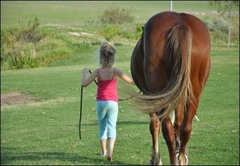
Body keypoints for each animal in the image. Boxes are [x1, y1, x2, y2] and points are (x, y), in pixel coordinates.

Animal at [130, 11, 211, 165]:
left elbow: (154, 126)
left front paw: (155, 158)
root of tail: (180, 23)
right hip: (194, 93)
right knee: (186, 128)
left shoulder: (151, 96)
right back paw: (181, 157)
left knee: (167, 129)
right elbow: (178, 124)